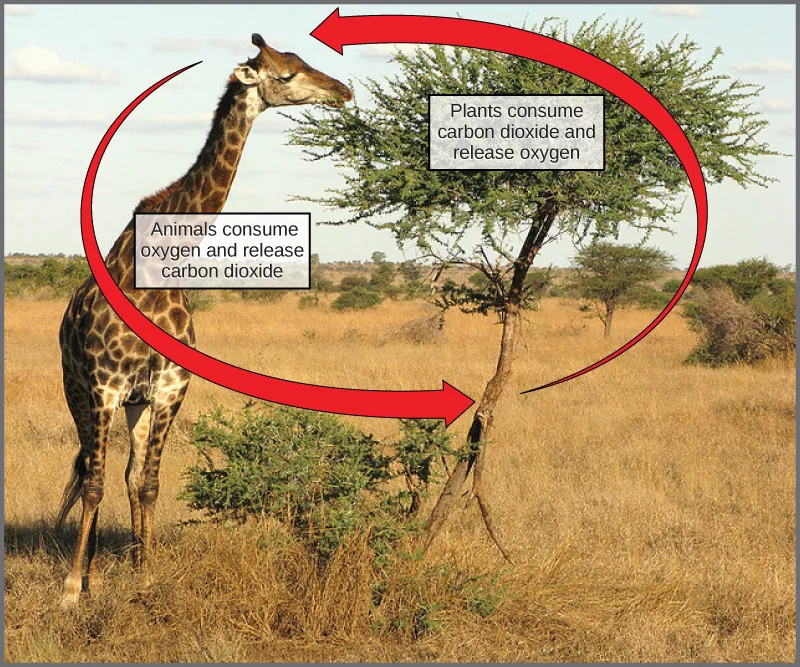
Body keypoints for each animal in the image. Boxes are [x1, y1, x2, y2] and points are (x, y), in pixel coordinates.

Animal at [56, 34, 351, 608]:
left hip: (135, 402)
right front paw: (72, 592)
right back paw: (86, 574)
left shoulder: (170, 386)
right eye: (286, 74)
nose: (342, 89)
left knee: (123, 474)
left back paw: (112, 568)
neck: (156, 268)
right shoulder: (104, 386)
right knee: (89, 472)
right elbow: (96, 483)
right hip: (77, 389)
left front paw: (145, 577)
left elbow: (147, 483)